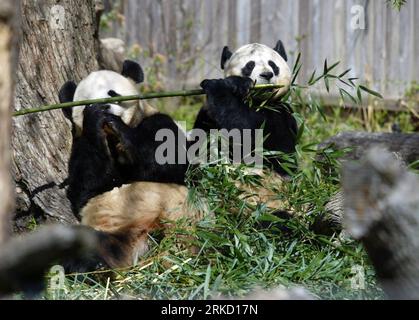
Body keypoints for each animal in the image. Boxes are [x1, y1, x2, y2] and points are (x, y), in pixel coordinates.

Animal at [59, 59, 203, 270]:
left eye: (112, 93)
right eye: (86, 104)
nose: (104, 108)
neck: (111, 139)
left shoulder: (158, 122)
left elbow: (167, 162)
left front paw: (118, 126)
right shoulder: (81, 145)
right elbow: (87, 186)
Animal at [194, 40, 298, 212]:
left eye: (273, 65)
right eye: (250, 65)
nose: (267, 75)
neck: (257, 101)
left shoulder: (278, 114)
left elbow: (245, 132)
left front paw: (218, 86)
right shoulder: (206, 117)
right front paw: (236, 83)